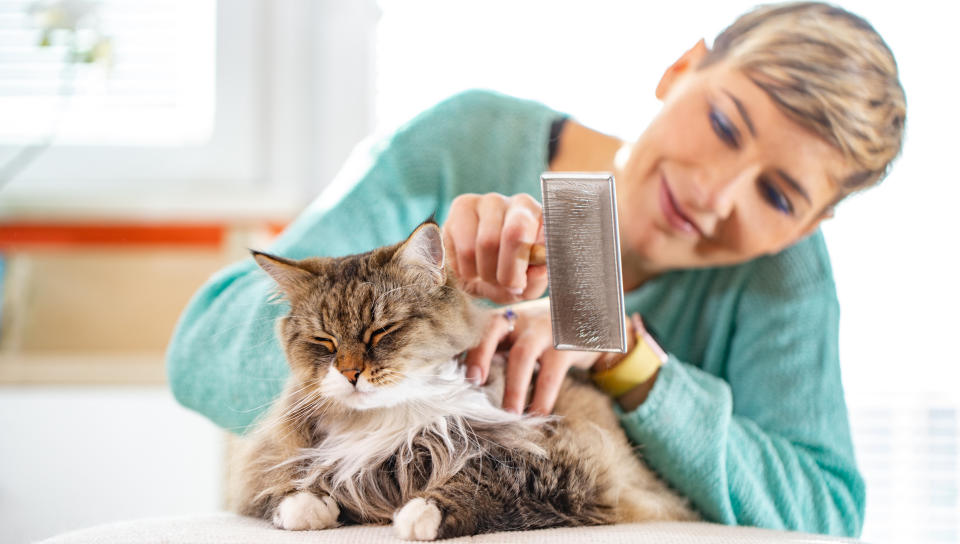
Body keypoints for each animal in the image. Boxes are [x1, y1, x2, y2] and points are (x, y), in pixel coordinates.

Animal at [232, 220, 696, 540]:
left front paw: (421, 512)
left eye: (381, 332)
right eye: (324, 341)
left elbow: (490, 478)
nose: (349, 374)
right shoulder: (275, 458)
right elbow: (285, 485)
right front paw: (306, 505)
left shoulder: (571, 459)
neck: (390, 420)